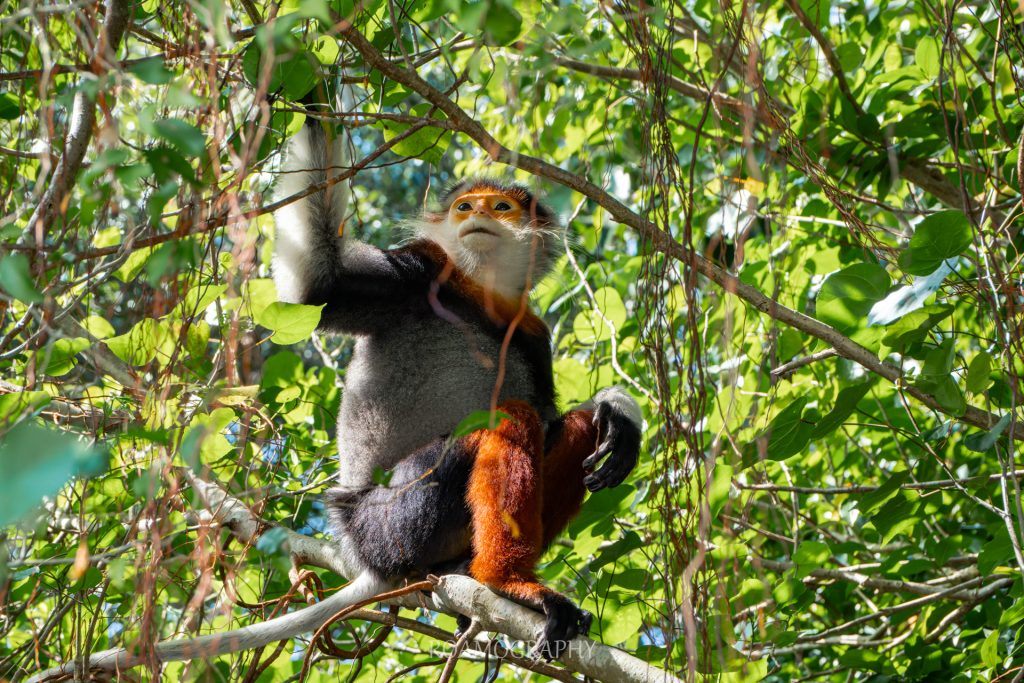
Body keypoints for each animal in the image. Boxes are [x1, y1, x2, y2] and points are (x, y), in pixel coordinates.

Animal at [271, 116, 643, 660]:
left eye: (501, 207)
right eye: (465, 207)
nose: (480, 214)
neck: (479, 291)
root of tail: (362, 551)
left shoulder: (533, 331)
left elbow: (555, 415)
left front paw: (619, 409)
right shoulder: (420, 269)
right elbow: (316, 289)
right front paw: (309, 99)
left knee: (570, 427)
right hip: (395, 519)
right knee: (510, 418)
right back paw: (505, 583)